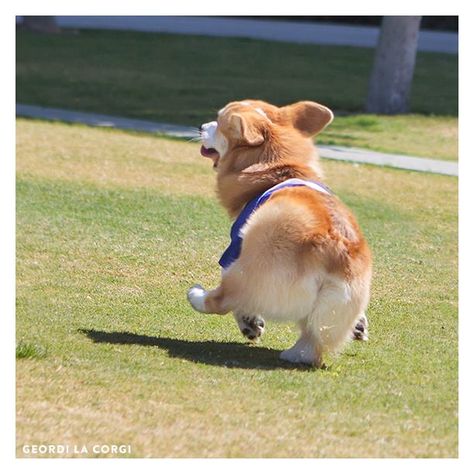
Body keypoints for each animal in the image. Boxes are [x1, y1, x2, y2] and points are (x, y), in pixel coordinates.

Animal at [187, 100, 372, 366]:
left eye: (220, 122)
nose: (201, 126)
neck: (282, 169)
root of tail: (333, 248)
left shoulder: (235, 248)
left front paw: (250, 322)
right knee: (312, 339)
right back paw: (298, 353)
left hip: (250, 266)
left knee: (227, 298)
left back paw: (197, 296)